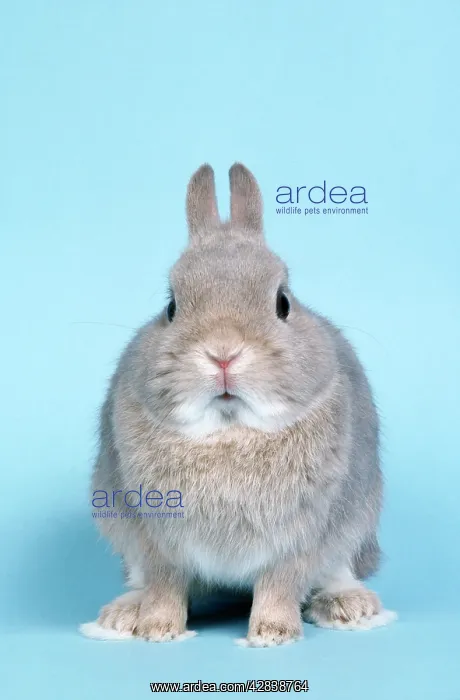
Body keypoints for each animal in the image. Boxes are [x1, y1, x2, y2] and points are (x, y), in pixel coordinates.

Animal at [80, 163, 395, 647]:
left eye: (283, 302)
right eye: (171, 306)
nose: (223, 353)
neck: (229, 430)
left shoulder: (300, 538)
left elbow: (279, 585)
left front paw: (271, 635)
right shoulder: (156, 540)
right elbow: (165, 585)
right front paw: (158, 630)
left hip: (355, 523)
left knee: (337, 569)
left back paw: (349, 607)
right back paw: (122, 617)